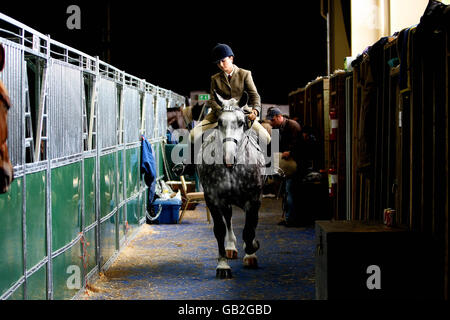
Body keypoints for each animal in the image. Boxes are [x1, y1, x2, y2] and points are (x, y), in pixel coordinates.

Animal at [196, 91, 266, 278]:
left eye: (241, 122)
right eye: (220, 122)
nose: (229, 158)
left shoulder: (253, 199)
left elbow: (249, 229)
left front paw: (251, 251)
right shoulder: (213, 199)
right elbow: (220, 229)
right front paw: (222, 266)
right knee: (228, 219)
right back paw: (230, 247)